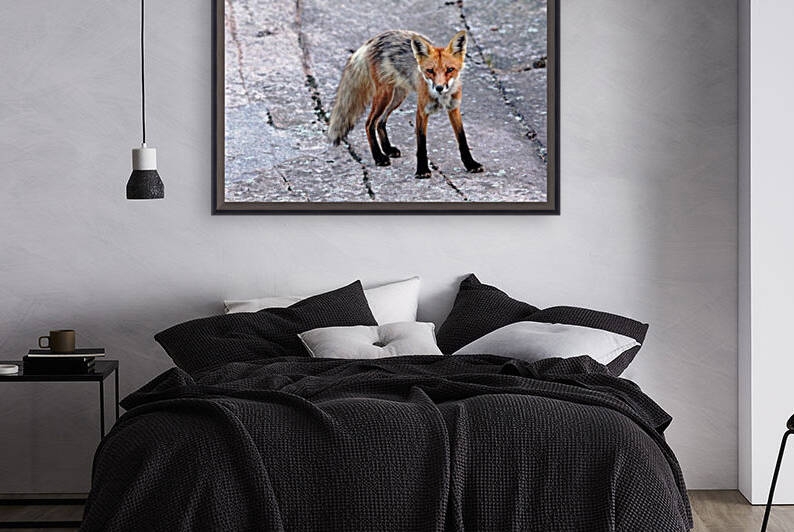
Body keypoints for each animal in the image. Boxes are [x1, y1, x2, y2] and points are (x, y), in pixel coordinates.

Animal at [328, 29, 483, 179]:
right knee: (369, 123)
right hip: (384, 95)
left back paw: (387, 149)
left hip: (397, 97)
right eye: (430, 71)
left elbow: (462, 140)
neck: (441, 98)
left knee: (380, 122)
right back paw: (379, 157)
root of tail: (374, 40)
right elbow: (421, 145)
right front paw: (422, 170)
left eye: (450, 69)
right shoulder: (422, 111)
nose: (439, 88)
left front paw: (470, 164)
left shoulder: (454, 109)